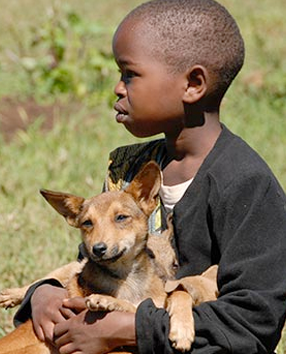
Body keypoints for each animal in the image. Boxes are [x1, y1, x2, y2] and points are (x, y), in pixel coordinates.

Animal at [0, 162, 217, 352]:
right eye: (87, 223)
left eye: (121, 217)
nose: (98, 249)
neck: (128, 279)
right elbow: (133, 307)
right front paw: (107, 301)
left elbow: (178, 294)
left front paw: (182, 329)